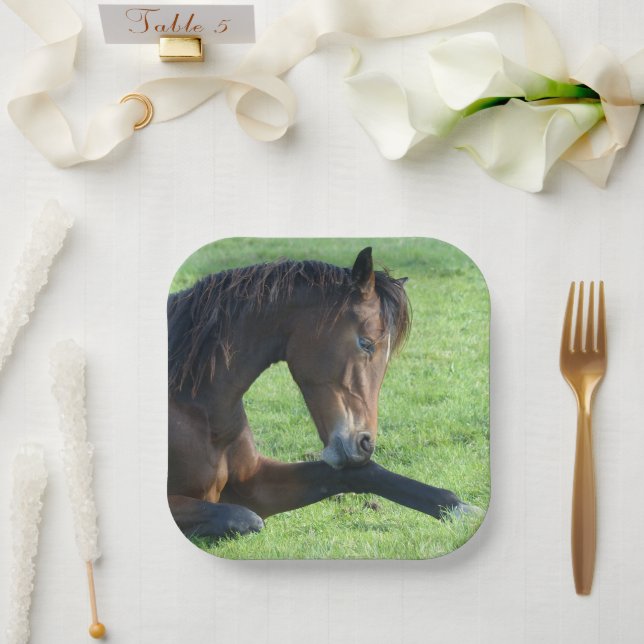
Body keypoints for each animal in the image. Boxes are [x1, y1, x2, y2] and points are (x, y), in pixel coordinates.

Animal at [167, 247, 477, 540]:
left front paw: (458, 508)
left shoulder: (254, 482)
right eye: (366, 343)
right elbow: (242, 518)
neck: (199, 406)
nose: (365, 444)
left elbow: (363, 473)